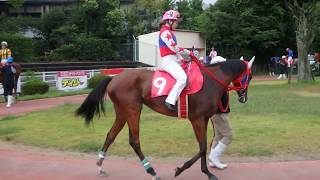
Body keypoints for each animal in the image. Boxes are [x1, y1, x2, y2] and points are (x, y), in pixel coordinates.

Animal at [75, 56, 255, 180]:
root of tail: (114, 78)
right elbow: (203, 147)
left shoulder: (203, 119)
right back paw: (152, 171)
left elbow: (203, 146)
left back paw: (100, 166)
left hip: (122, 112)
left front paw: (206, 171)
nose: (243, 97)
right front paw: (183, 169)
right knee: (134, 141)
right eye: (251, 76)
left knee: (111, 135)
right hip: (133, 110)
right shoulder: (197, 119)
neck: (210, 81)